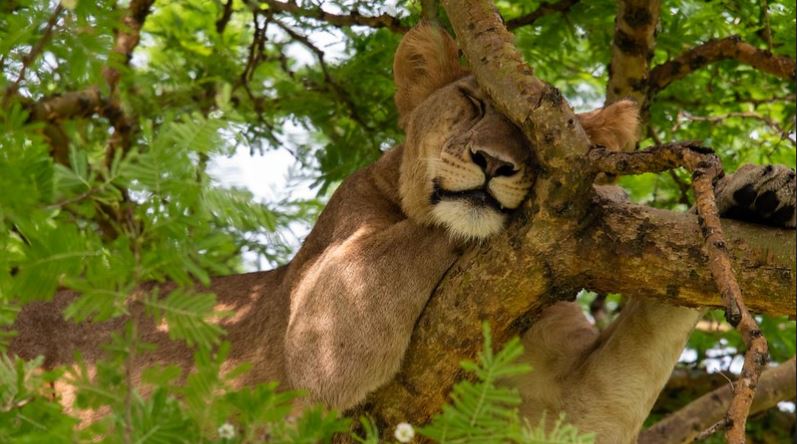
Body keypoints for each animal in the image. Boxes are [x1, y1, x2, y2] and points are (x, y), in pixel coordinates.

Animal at [9, 23, 796, 443]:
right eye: (472, 100)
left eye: (536, 138)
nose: (494, 162)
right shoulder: (323, 320)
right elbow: (414, 243)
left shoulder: (570, 410)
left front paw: (752, 196)